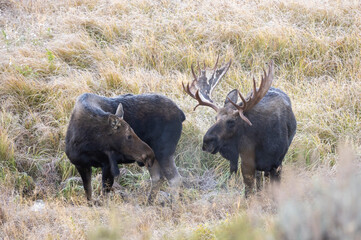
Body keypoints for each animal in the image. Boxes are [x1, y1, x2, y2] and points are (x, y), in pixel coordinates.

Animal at [183, 58, 296, 197]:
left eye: (231, 122)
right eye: (215, 118)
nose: (206, 142)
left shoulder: (277, 164)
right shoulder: (247, 161)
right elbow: (249, 193)